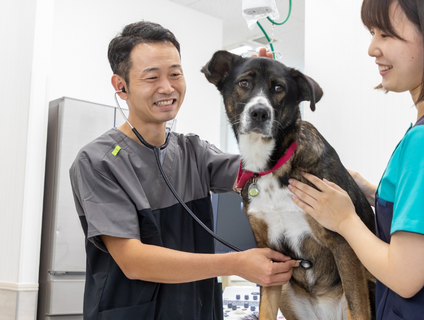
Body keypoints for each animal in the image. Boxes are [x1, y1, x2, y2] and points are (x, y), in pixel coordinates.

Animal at [201, 51, 374, 318]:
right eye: (244, 83)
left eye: (279, 88)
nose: (259, 113)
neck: (273, 166)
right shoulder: (271, 257)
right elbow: (264, 311)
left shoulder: (344, 244)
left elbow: (358, 310)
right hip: (284, 289)